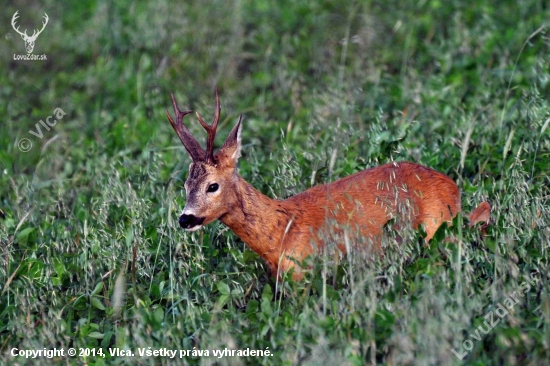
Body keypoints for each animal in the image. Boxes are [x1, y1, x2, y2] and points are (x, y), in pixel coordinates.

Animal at [167, 90, 492, 278]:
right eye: (185, 186)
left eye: (212, 186)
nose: (185, 219)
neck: (280, 232)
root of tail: (453, 187)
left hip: (437, 228)